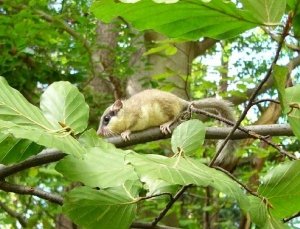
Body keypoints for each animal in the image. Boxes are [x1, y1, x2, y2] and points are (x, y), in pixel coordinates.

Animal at [97, 89, 238, 168]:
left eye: (106, 119)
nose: (98, 133)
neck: (126, 112)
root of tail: (182, 102)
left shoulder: (137, 117)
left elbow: (132, 127)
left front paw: (125, 133)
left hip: (167, 109)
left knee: (174, 117)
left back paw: (166, 124)